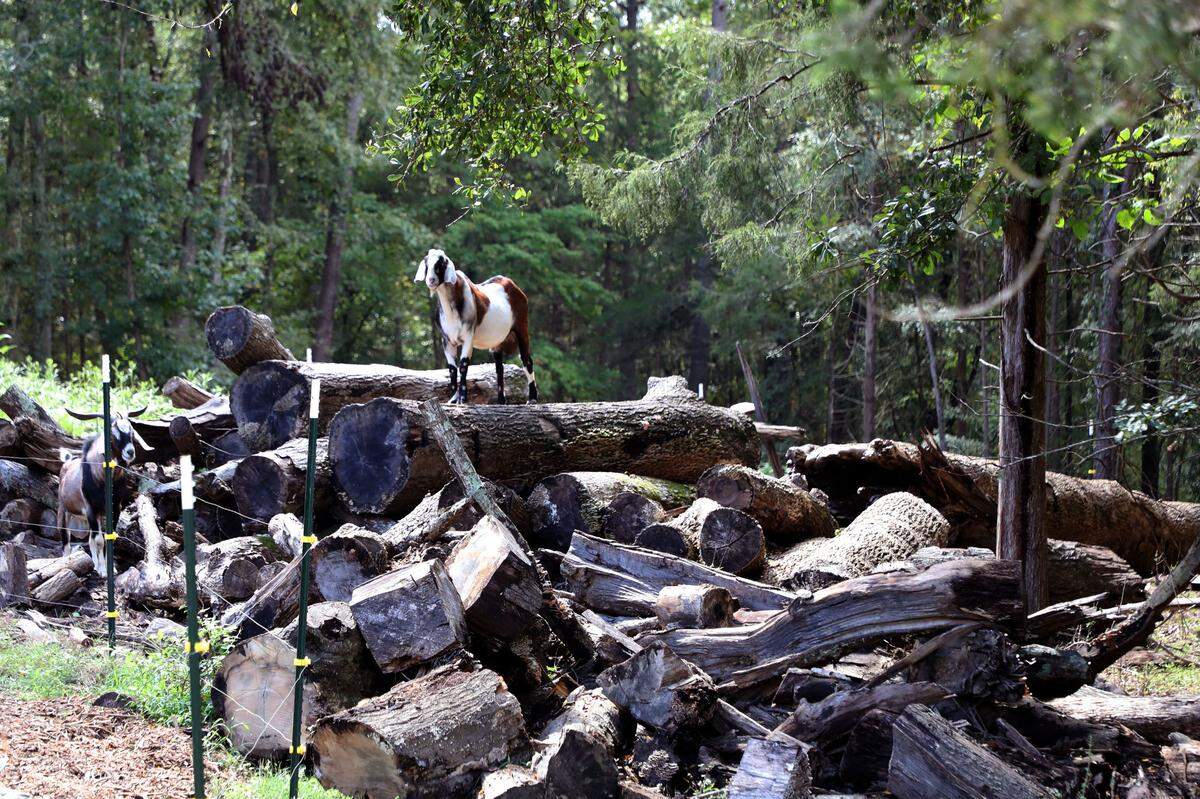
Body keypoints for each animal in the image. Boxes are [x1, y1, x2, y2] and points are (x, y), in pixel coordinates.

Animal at [57, 406, 149, 575]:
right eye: (113, 432)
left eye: (131, 431)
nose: (130, 452)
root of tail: (67, 463)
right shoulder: (90, 509)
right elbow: (99, 540)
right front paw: (102, 570)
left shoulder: (114, 508)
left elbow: (107, 537)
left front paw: (109, 568)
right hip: (64, 511)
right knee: (66, 540)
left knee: (89, 539)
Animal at [415, 248, 539, 404]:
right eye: (426, 263)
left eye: (441, 263)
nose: (431, 280)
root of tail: (511, 285)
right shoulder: (447, 340)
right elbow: (452, 368)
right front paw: (453, 399)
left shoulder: (468, 336)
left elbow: (463, 365)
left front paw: (462, 399)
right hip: (497, 341)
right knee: (499, 367)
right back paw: (501, 401)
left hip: (522, 326)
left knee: (526, 359)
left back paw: (532, 399)